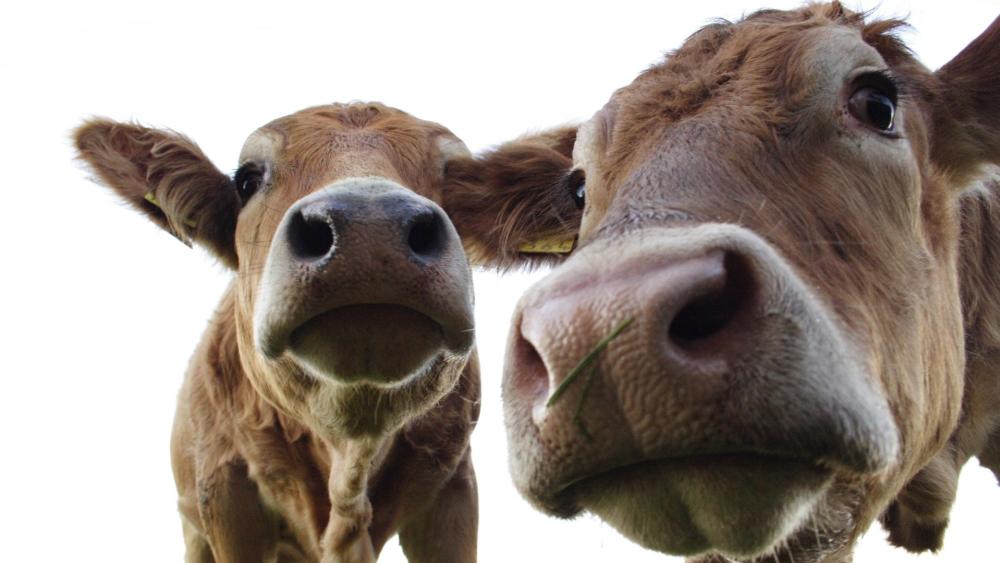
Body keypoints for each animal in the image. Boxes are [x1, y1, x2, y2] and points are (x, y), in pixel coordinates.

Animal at [72, 102, 580, 563]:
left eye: (456, 177)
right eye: (247, 179)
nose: (371, 226)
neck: (349, 455)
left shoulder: (453, 487)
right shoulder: (225, 492)